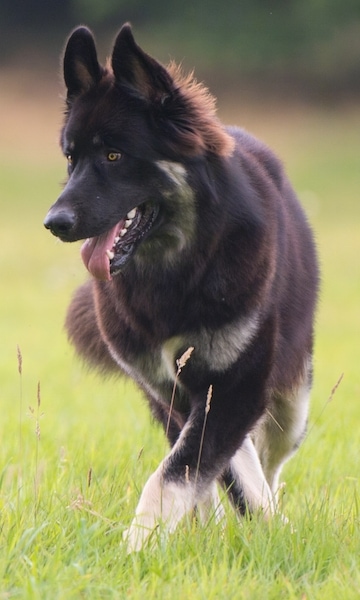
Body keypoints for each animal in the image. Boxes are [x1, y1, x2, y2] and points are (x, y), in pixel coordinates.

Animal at [44, 22, 318, 548]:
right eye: (71, 158)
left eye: (114, 154)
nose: (54, 222)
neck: (178, 268)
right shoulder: (172, 391)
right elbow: (195, 468)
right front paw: (155, 538)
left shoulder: (237, 384)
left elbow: (180, 472)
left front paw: (138, 543)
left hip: (291, 399)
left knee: (270, 460)